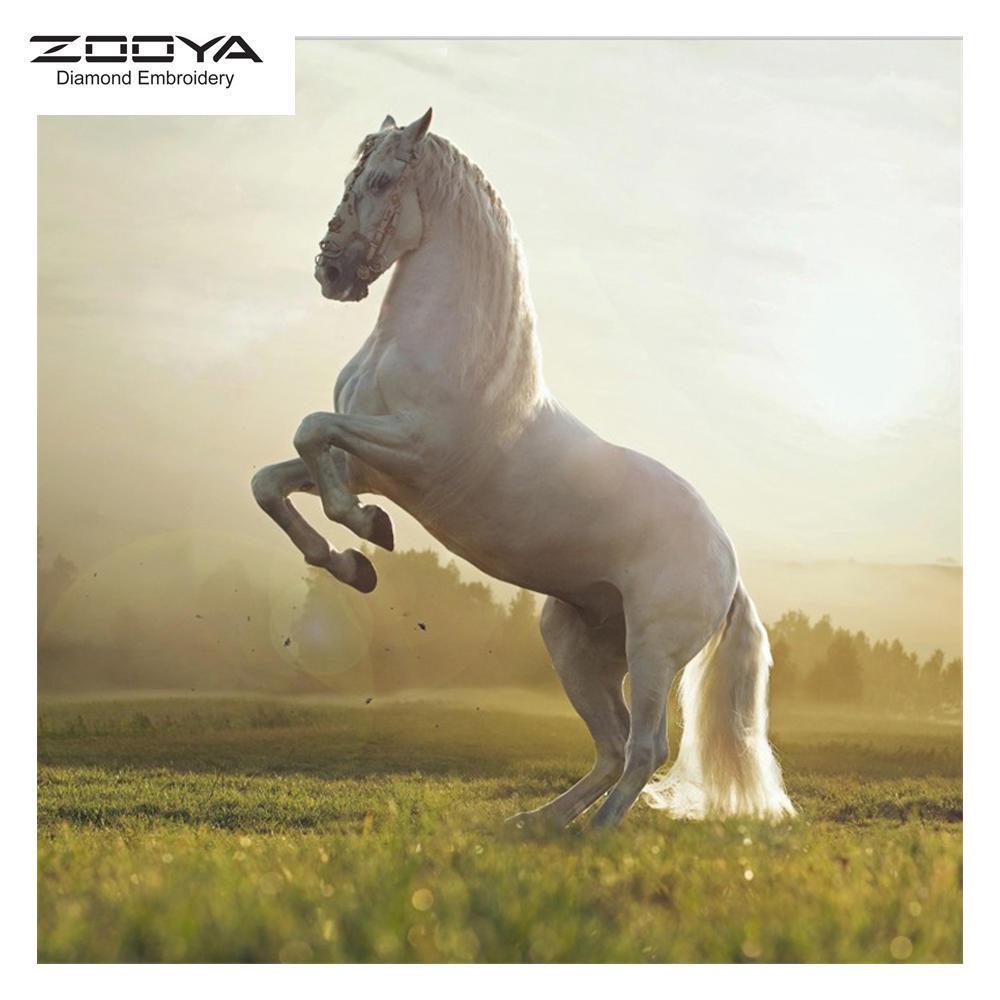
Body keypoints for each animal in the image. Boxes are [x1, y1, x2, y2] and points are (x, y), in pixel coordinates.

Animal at [251, 109, 794, 829]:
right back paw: (537, 824)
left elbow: (312, 432)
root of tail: (728, 565)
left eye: (384, 180)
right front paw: (351, 562)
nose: (331, 271)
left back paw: (595, 834)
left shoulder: (412, 452)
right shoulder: (367, 463)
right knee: (612, 746)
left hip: (653, 650)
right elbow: (273, 479)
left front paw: (367, 533)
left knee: (645, 747)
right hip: (574, 643)